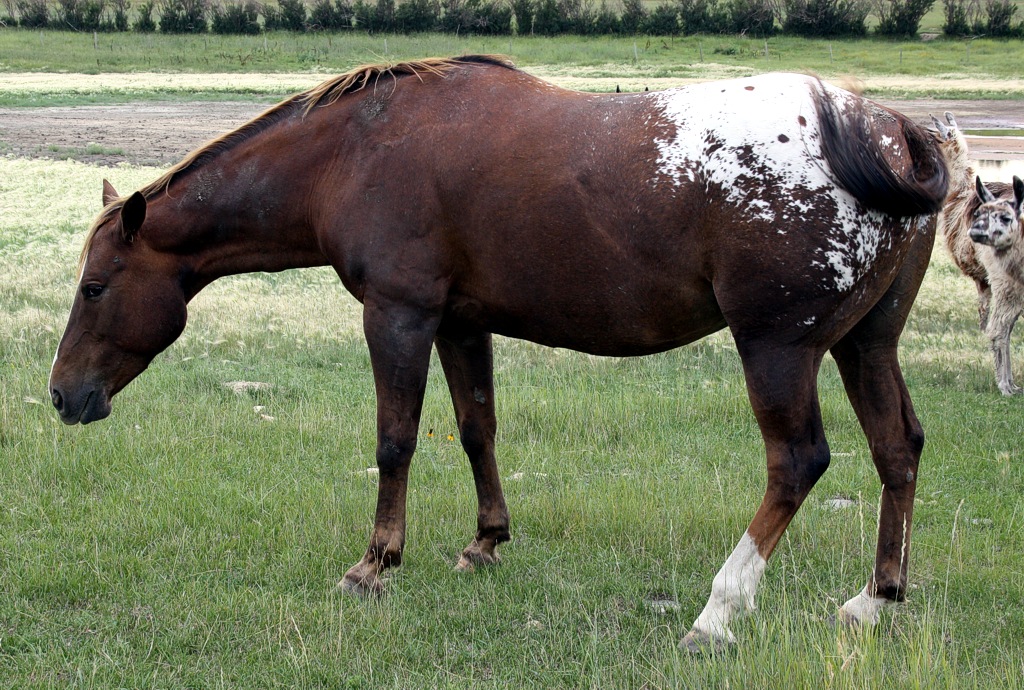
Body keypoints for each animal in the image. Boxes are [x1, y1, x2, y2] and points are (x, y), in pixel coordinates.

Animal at [46, 55, 942, 651]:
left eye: (94, 287)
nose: (62, 394)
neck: (355, 152)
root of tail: (886, 129)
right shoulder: (459, 324)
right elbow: (477, 429)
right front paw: (486, 541)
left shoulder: (399, 316)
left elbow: (395, 440)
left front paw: (375, 563)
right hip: (865, 343)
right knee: (897, 448)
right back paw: (876, 599)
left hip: (778, 349)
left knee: (798, 462)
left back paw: (718, 614)